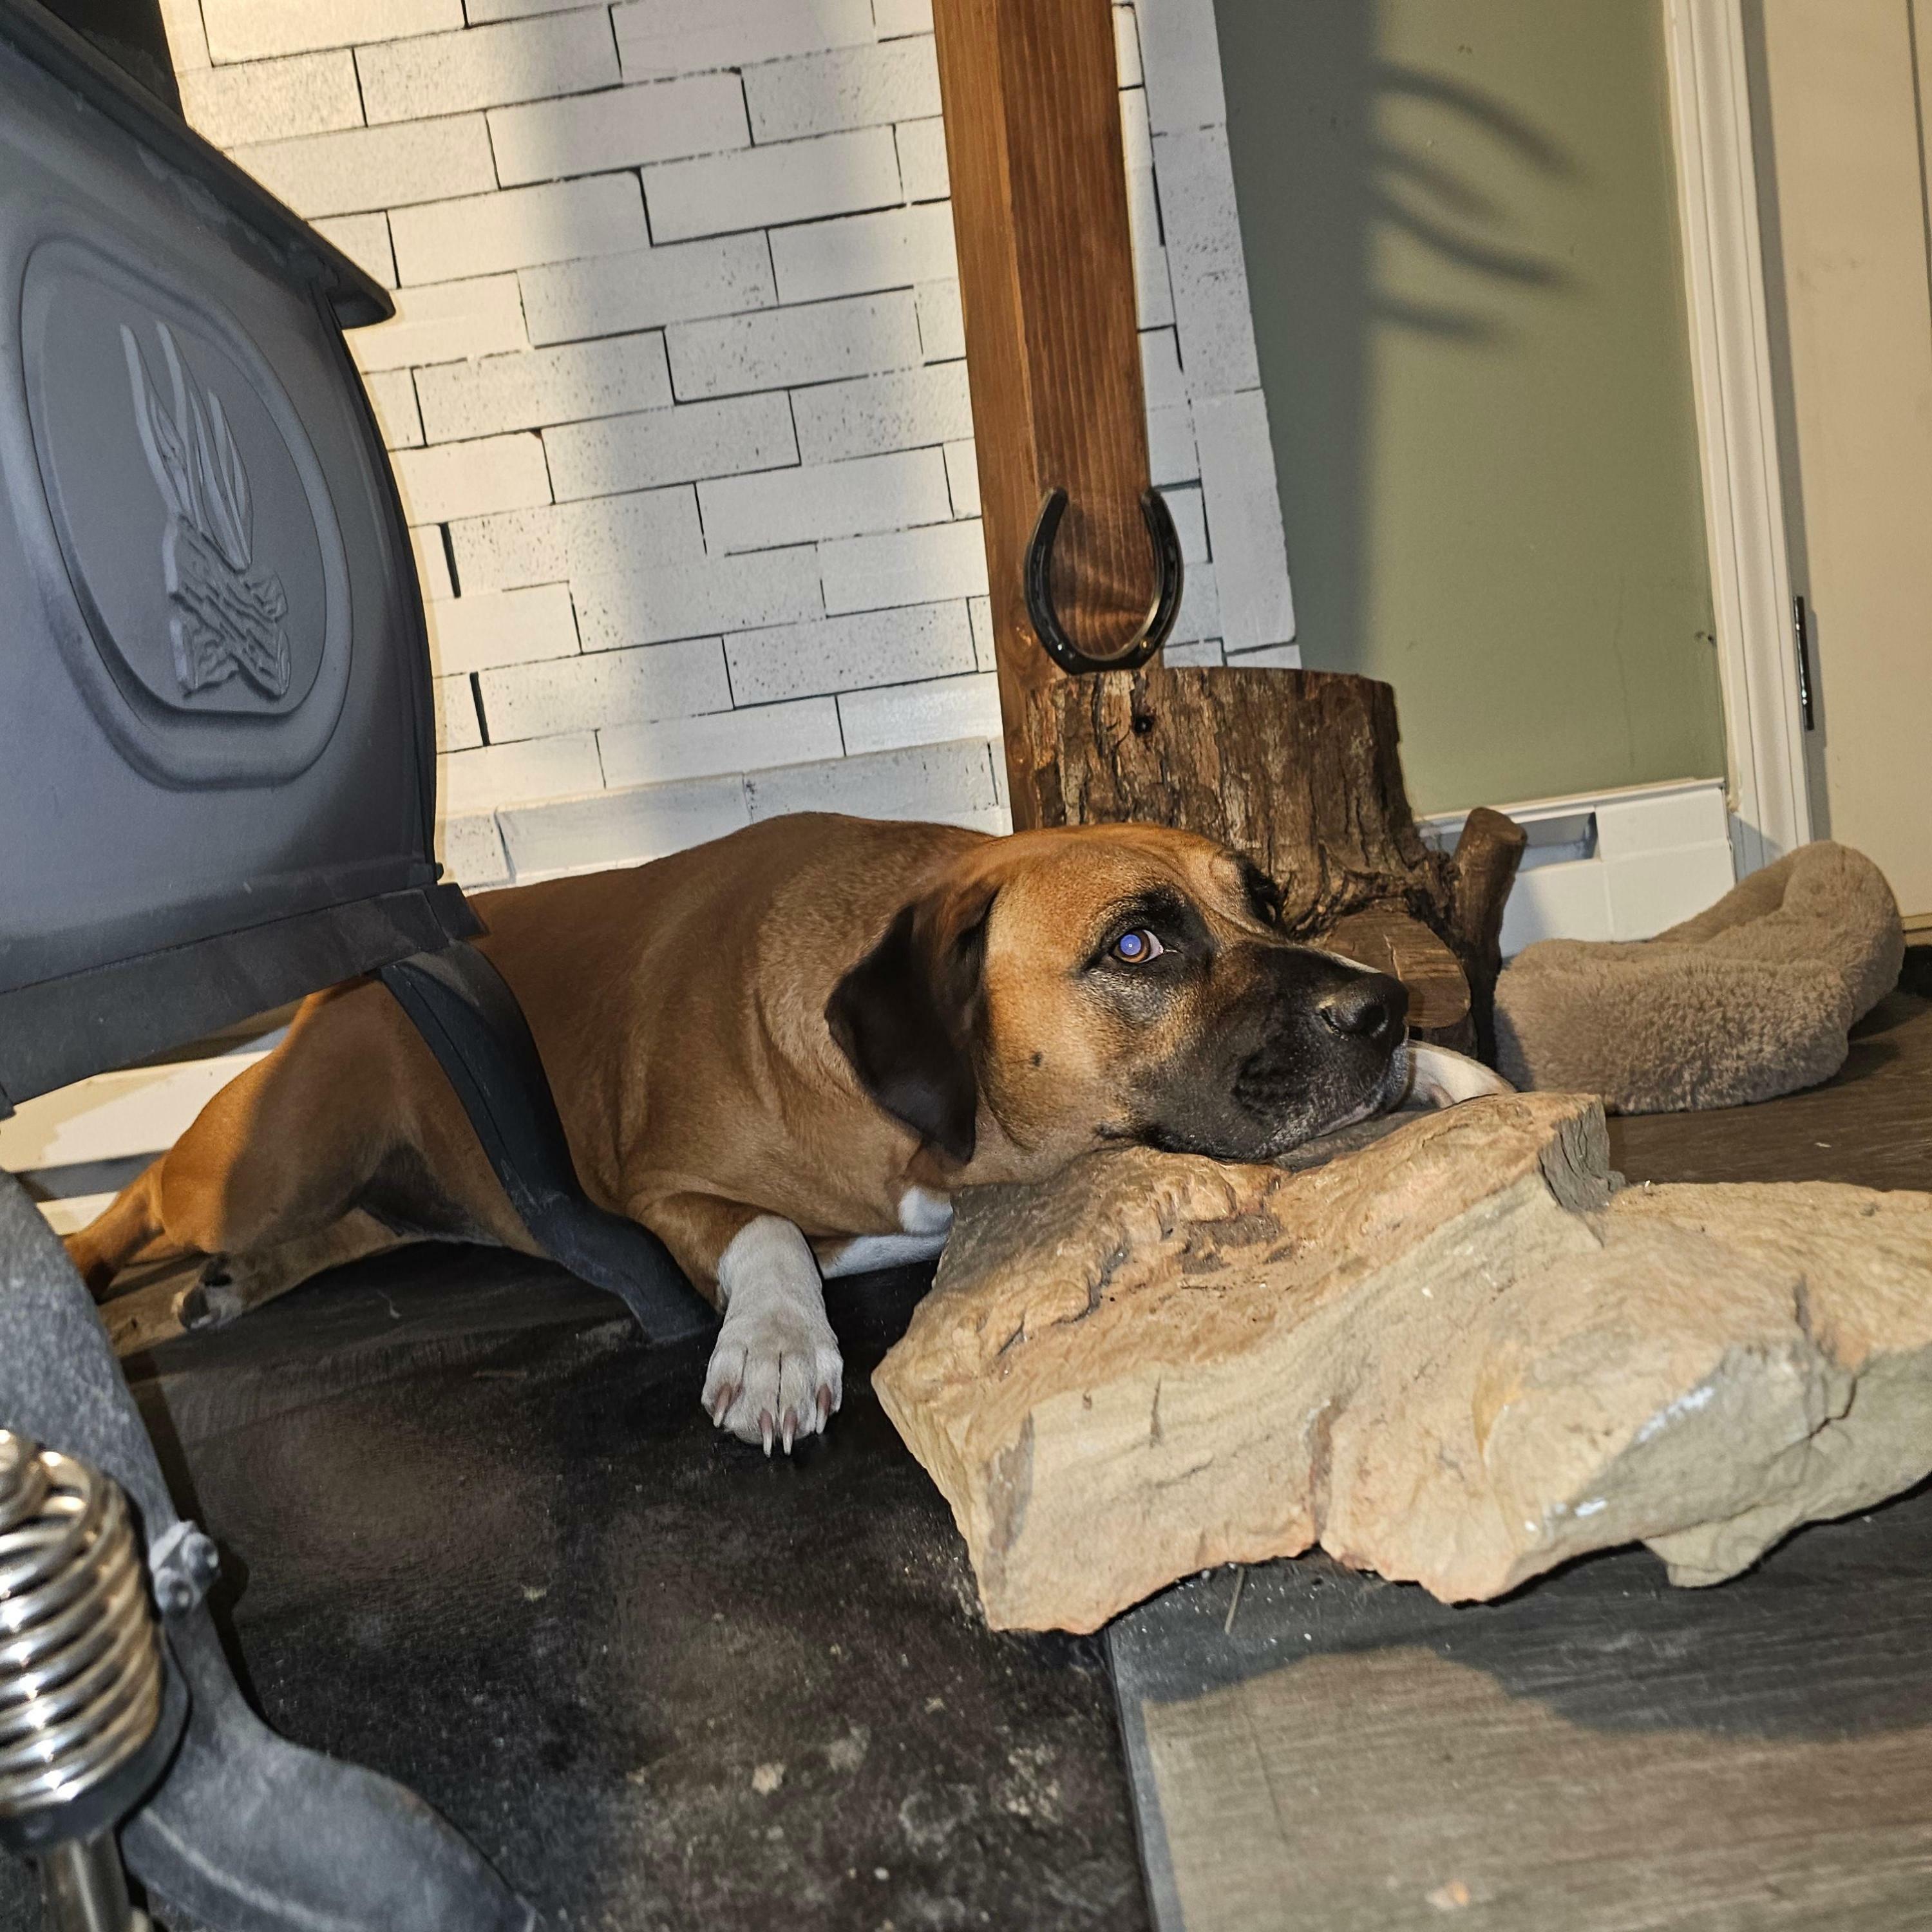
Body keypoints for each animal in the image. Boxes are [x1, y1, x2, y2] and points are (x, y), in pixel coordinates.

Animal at [67, 814, 1507, 1451]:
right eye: (1136, 947)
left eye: (1260, 900)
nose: (1378, 1009)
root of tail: (342, 985)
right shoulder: (663, 1192)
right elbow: (763, 1230)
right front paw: (769, 1345)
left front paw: (1450, 1066)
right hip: (267, 1164)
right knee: (140, 1204)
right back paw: (105, 1274)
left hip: (368, 1194)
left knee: (338, 1238)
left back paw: (218, 1294)